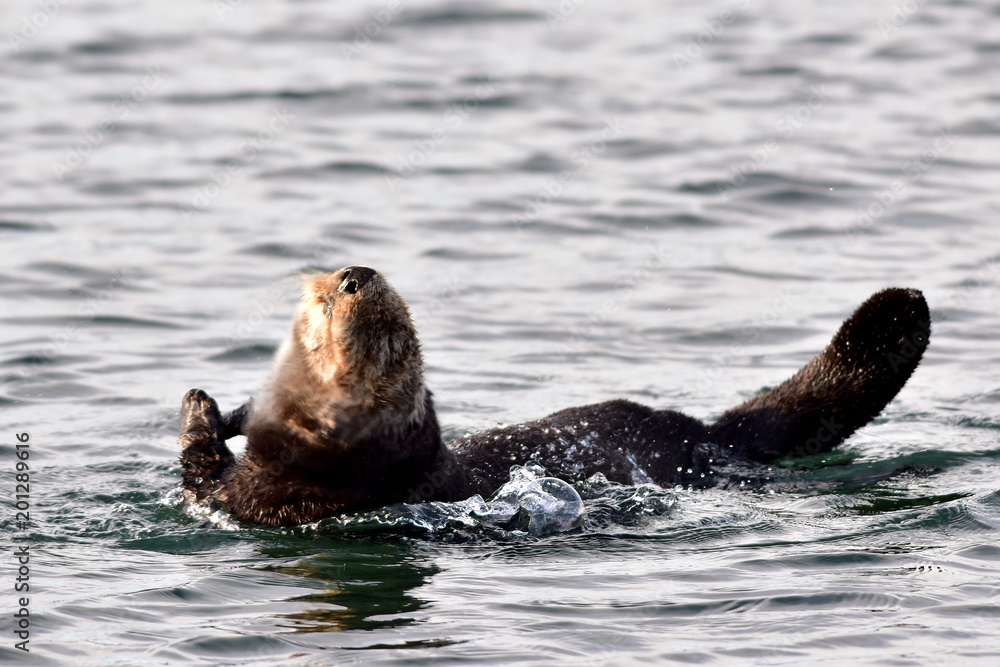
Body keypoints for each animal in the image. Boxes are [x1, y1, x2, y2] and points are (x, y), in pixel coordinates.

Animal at [178, 266, 930, 526]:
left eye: (395, 348)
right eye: (327, 292)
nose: (357, 276)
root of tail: (711, 433)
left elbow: (209, 469)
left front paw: (205, 406)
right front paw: (217, 404)